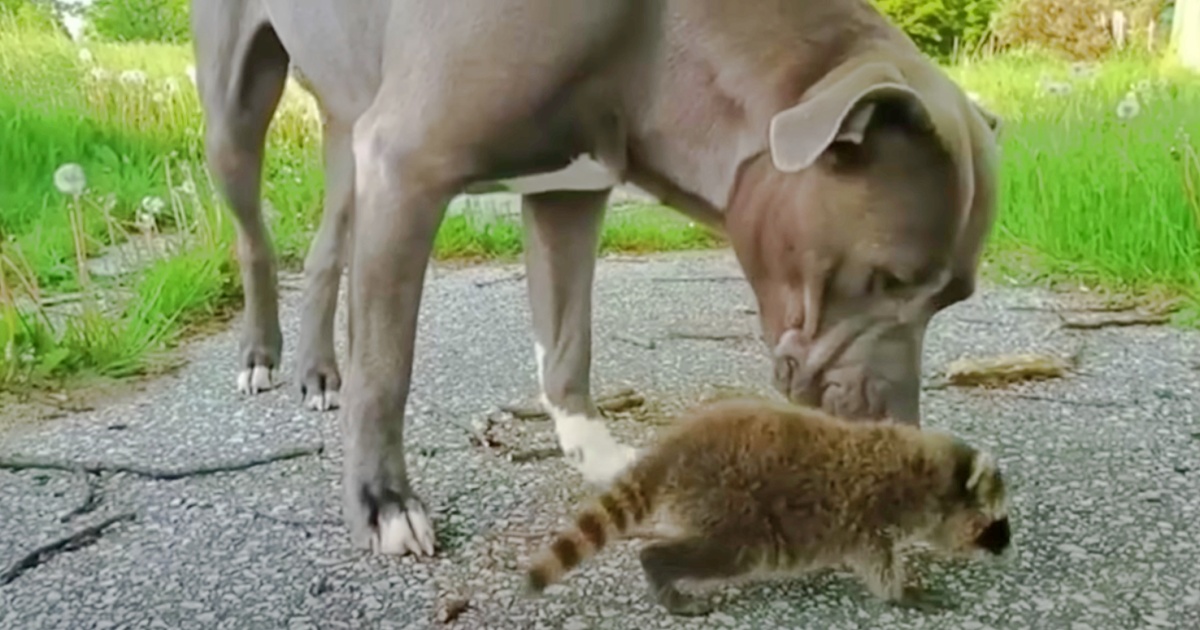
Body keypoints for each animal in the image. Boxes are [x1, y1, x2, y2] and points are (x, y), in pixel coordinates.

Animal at [192, 0, 998, 556]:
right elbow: (387, 367)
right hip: (236, 111)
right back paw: (262, 358)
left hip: (347, 124)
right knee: (252, 236)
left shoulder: (568, 192)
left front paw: (597, 454)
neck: (653, 38)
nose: (903, 427)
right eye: (887, 276)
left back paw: (318, 371)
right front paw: (383, 504)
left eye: (955, 296)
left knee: (326, 252)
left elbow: (567, 337)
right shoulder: (405, 164)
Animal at [525, 396, 1012, 614]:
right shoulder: (871, 511)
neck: (926, 475)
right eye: (994, 522)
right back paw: (659, 565)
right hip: (730, 504)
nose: (1008, 547)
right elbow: (877, 560)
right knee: (730, 551)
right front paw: (901, 591)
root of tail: (671, 449)